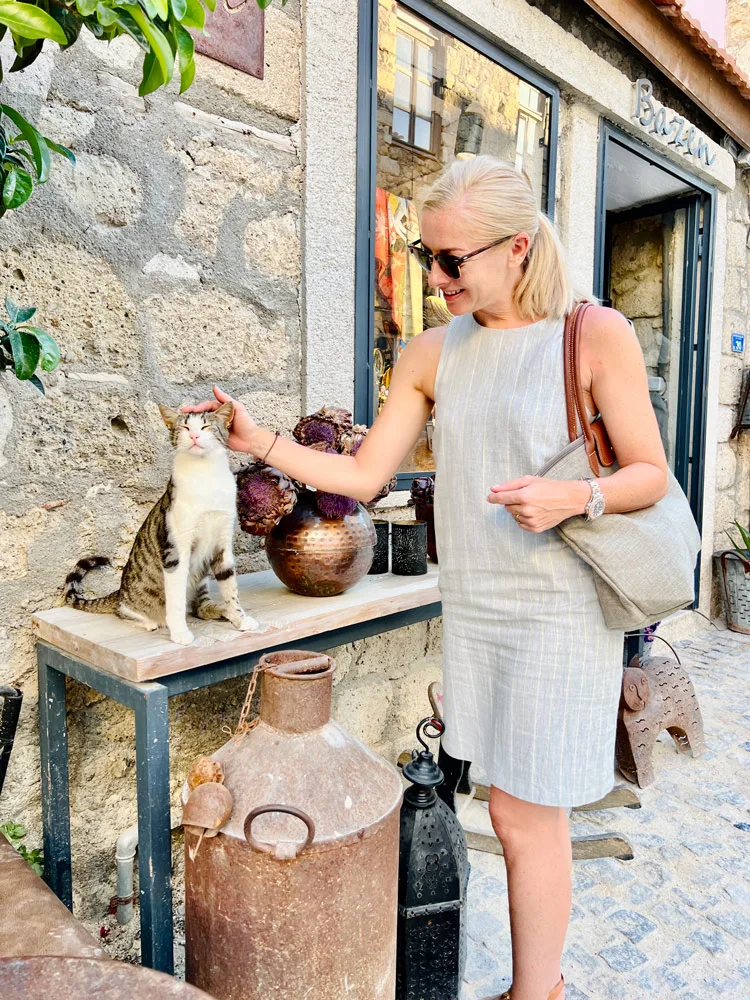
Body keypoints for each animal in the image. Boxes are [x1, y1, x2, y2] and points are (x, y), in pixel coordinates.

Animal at [64, 400, 258, 644]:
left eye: (205, 426)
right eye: (185, 427)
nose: (194, 435)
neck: (205, 475)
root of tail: (118, 591)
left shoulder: (222, 544)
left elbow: (231, 588)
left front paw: (239, 618)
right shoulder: (176, 549)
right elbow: (175, 600)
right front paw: (180, 633)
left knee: (200, 609)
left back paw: (221, 610)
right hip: (135, 595)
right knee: (123, 609)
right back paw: (148, 621)